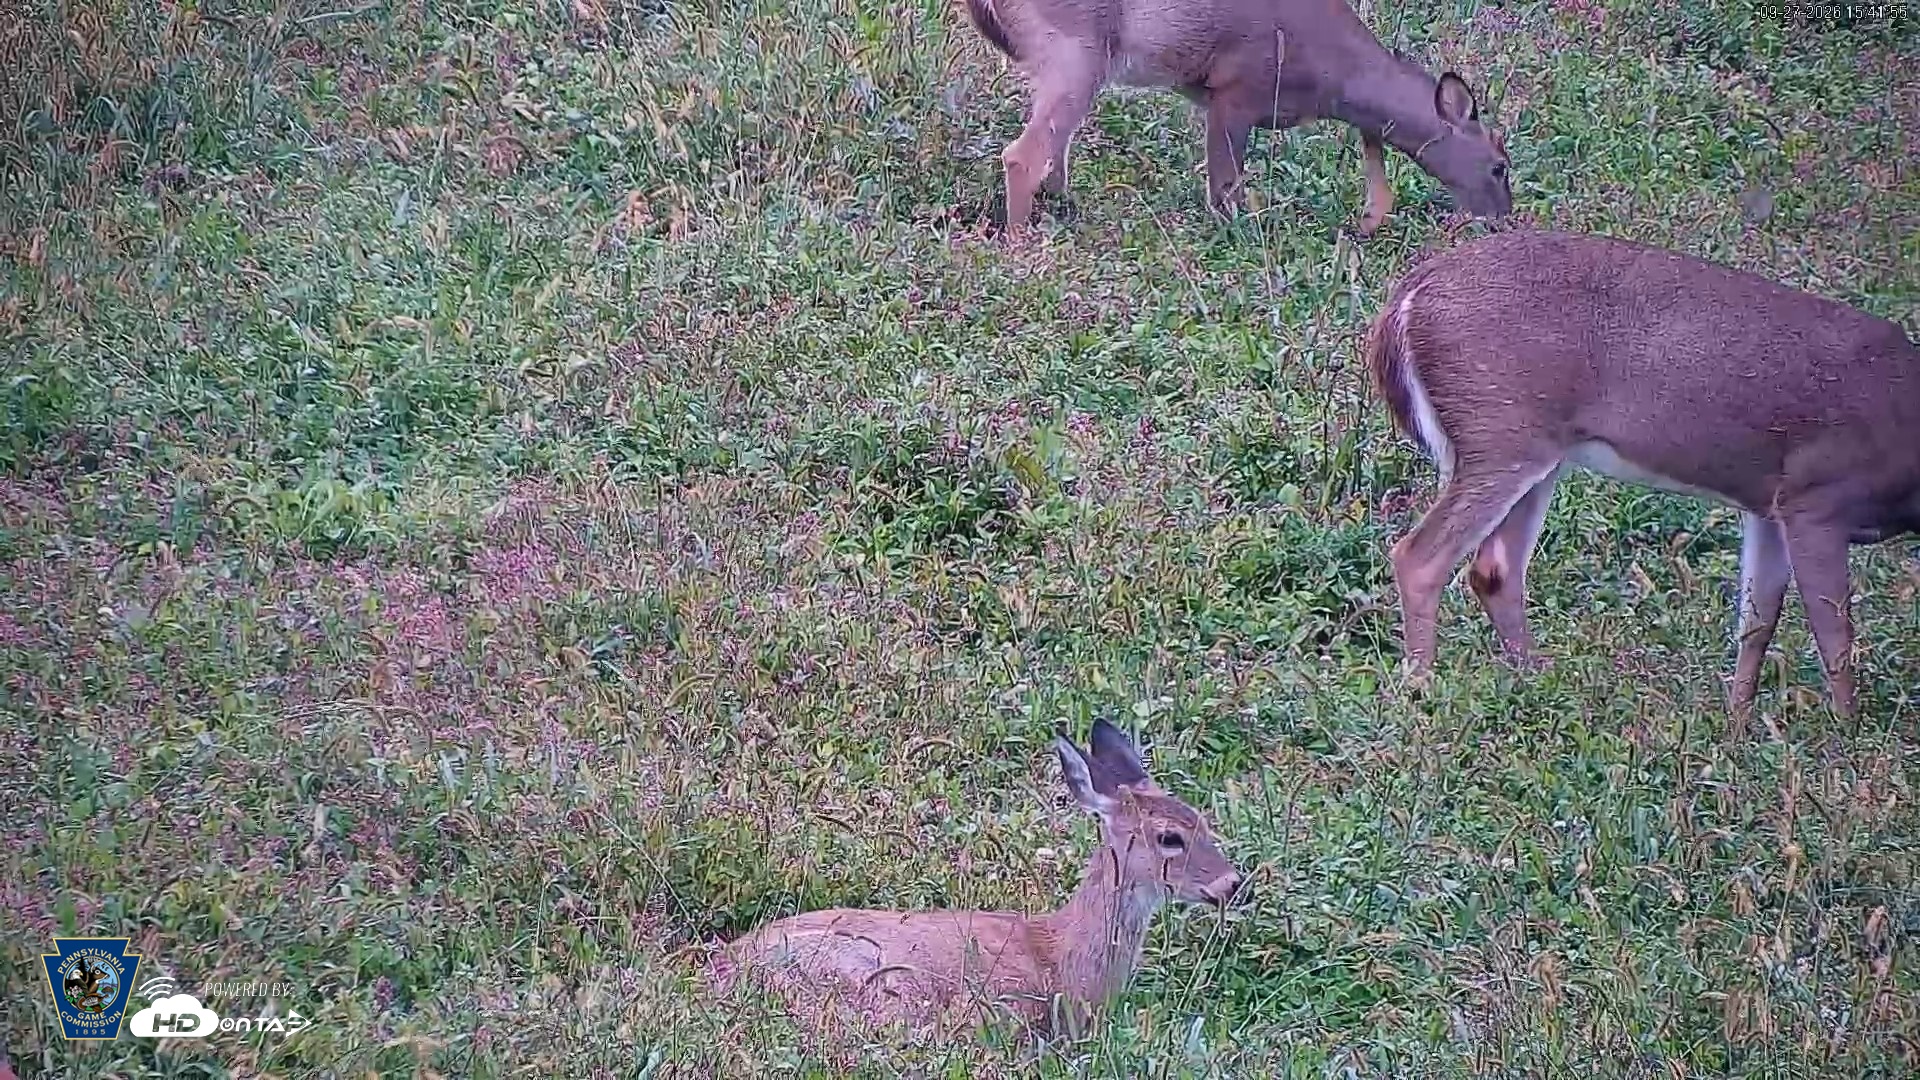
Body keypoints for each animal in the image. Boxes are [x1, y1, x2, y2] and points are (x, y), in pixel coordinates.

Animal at [959, 0, 1513, 236]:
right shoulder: (1237, 92)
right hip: (1076, 52)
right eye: (1499, 166)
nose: (1503, 219)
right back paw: (1021, 243)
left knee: (1052, 147)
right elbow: (1224, 189)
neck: (1337, 77)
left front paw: (1367, 223)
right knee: (1023, 155)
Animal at [1367, 228, 1920, 719]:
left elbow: (1758, 621)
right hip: (1499, 431)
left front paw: (1736, 726)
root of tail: (1406, 301)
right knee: (1420, 557)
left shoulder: (1768, 505)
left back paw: (1539, 684)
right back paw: (1422, 690)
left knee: (1494, 568)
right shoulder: (1818, 498)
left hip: (1532, 448)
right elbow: (1835, 635)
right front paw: (1845, 735)